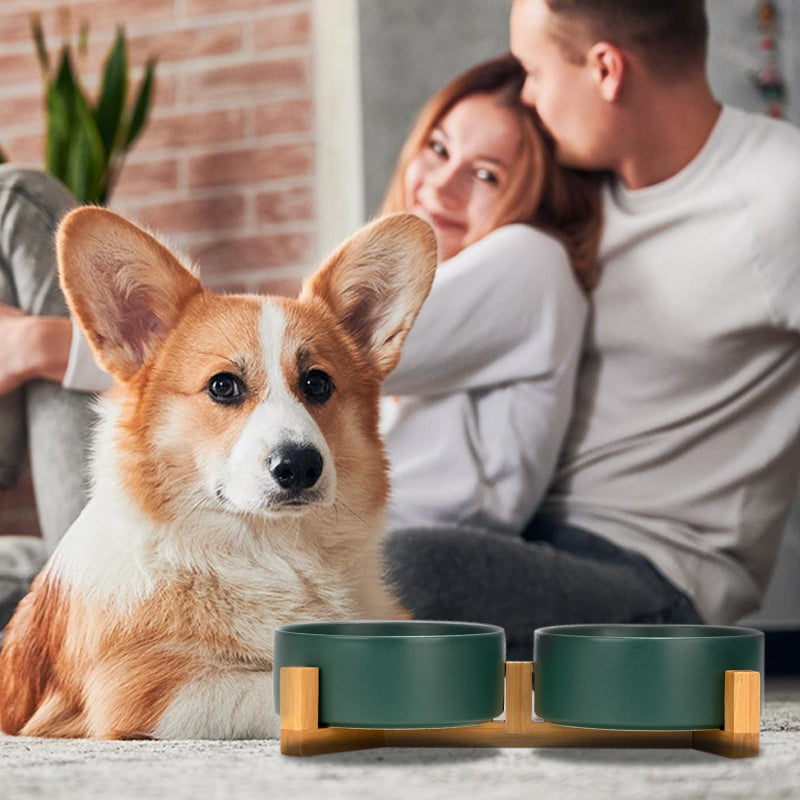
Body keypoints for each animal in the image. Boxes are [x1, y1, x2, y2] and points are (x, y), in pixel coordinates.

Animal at [0, 205, 438, 736]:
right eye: (223, 386)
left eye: (317, 383)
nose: (299, 466)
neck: (267, 552)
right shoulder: (143, 692)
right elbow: (279, 689)